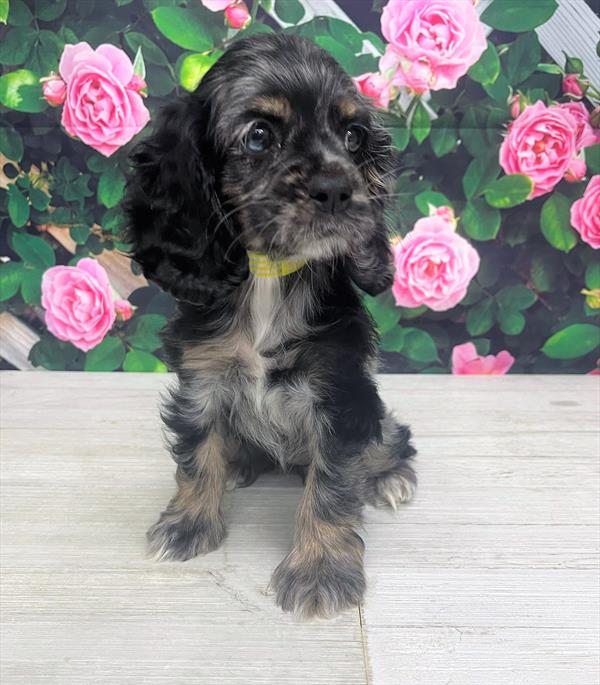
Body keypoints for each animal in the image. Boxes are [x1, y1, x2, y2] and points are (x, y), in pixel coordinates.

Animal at [125, 34, 418, 616]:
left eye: (353, 136)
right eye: (259, 135)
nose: (337, 189)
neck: (269, 275)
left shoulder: (339, 392)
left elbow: (331, 488)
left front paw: (321, 571)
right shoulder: (203, 377)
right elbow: (198, 453)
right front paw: (188, 525)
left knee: (391, 438)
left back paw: (389, 476)